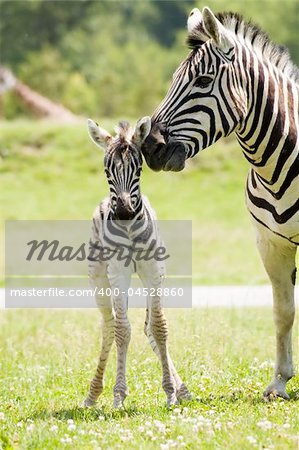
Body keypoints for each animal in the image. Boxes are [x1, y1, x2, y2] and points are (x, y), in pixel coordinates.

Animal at [84, 116, 191, 408]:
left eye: (139, 168)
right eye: (106, 170)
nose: (123, 211)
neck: (130, 228)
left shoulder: (153, 270)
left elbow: (159, 327)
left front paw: (170, 392)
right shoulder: (118, 273)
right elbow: (122, 330)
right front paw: (119, 395)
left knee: (146, 327)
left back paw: (181, 389)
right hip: (99, 279)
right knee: (109, 326)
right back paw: (93, 393)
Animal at [144, 6, 299, 400]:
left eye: (202, 81)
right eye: (173, 79)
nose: (149, 147)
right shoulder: (269, 243)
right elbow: (283, 311)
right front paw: (279, 382)